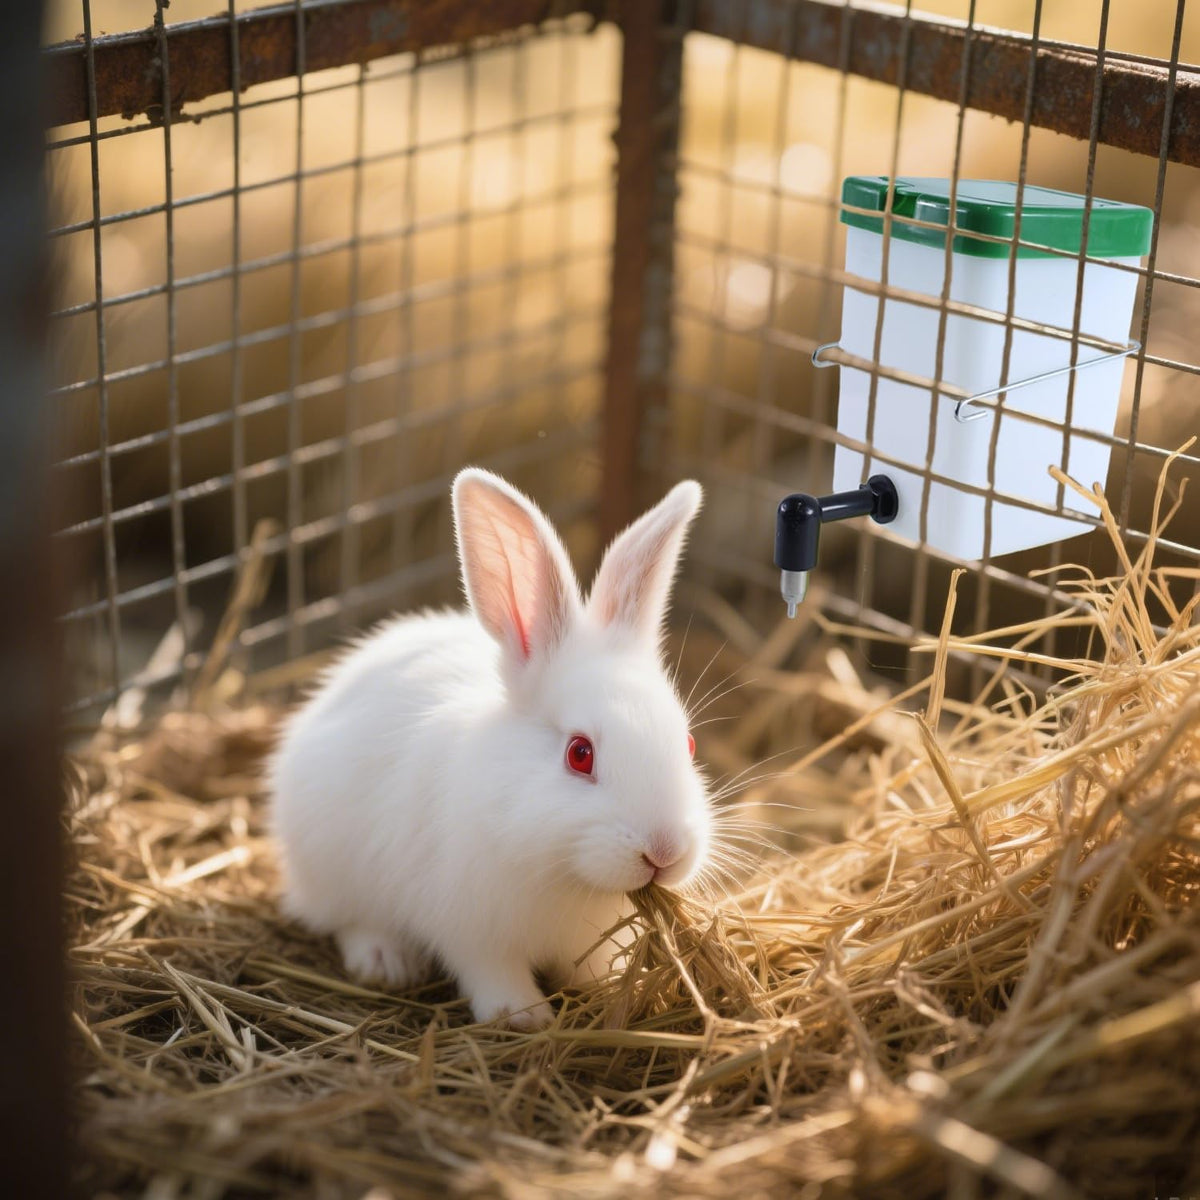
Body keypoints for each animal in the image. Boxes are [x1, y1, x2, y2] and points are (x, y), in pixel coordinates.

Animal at [269, 468, 712, 1029]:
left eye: (689, 743)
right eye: (580, 754)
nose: (664, 851)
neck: (563, 871)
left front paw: (613, 987)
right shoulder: (469, 928)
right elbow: (489, 971)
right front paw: (524, 1016)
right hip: (330, 862)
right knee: (346, 918)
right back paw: (384, 961)